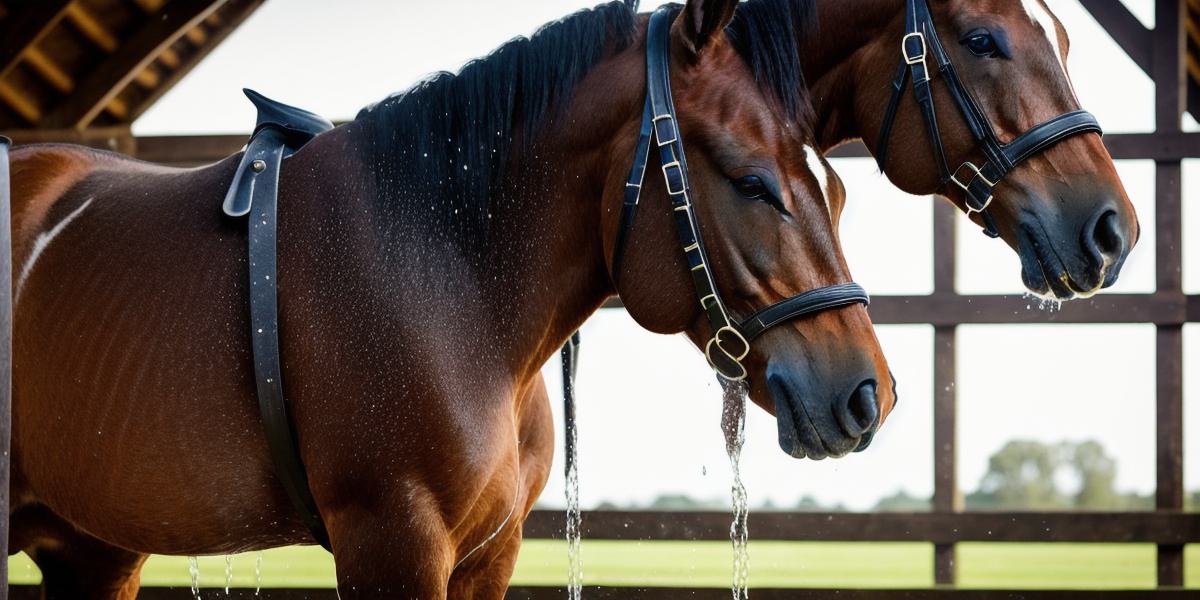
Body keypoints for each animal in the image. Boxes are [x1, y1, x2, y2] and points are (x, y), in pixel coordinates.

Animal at [7, 0, 892, 595]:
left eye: (841, 190)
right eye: (752, 182)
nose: (865, 395)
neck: (449, 275)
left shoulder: (488, 555)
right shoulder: (394, 542)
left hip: (89, 548)